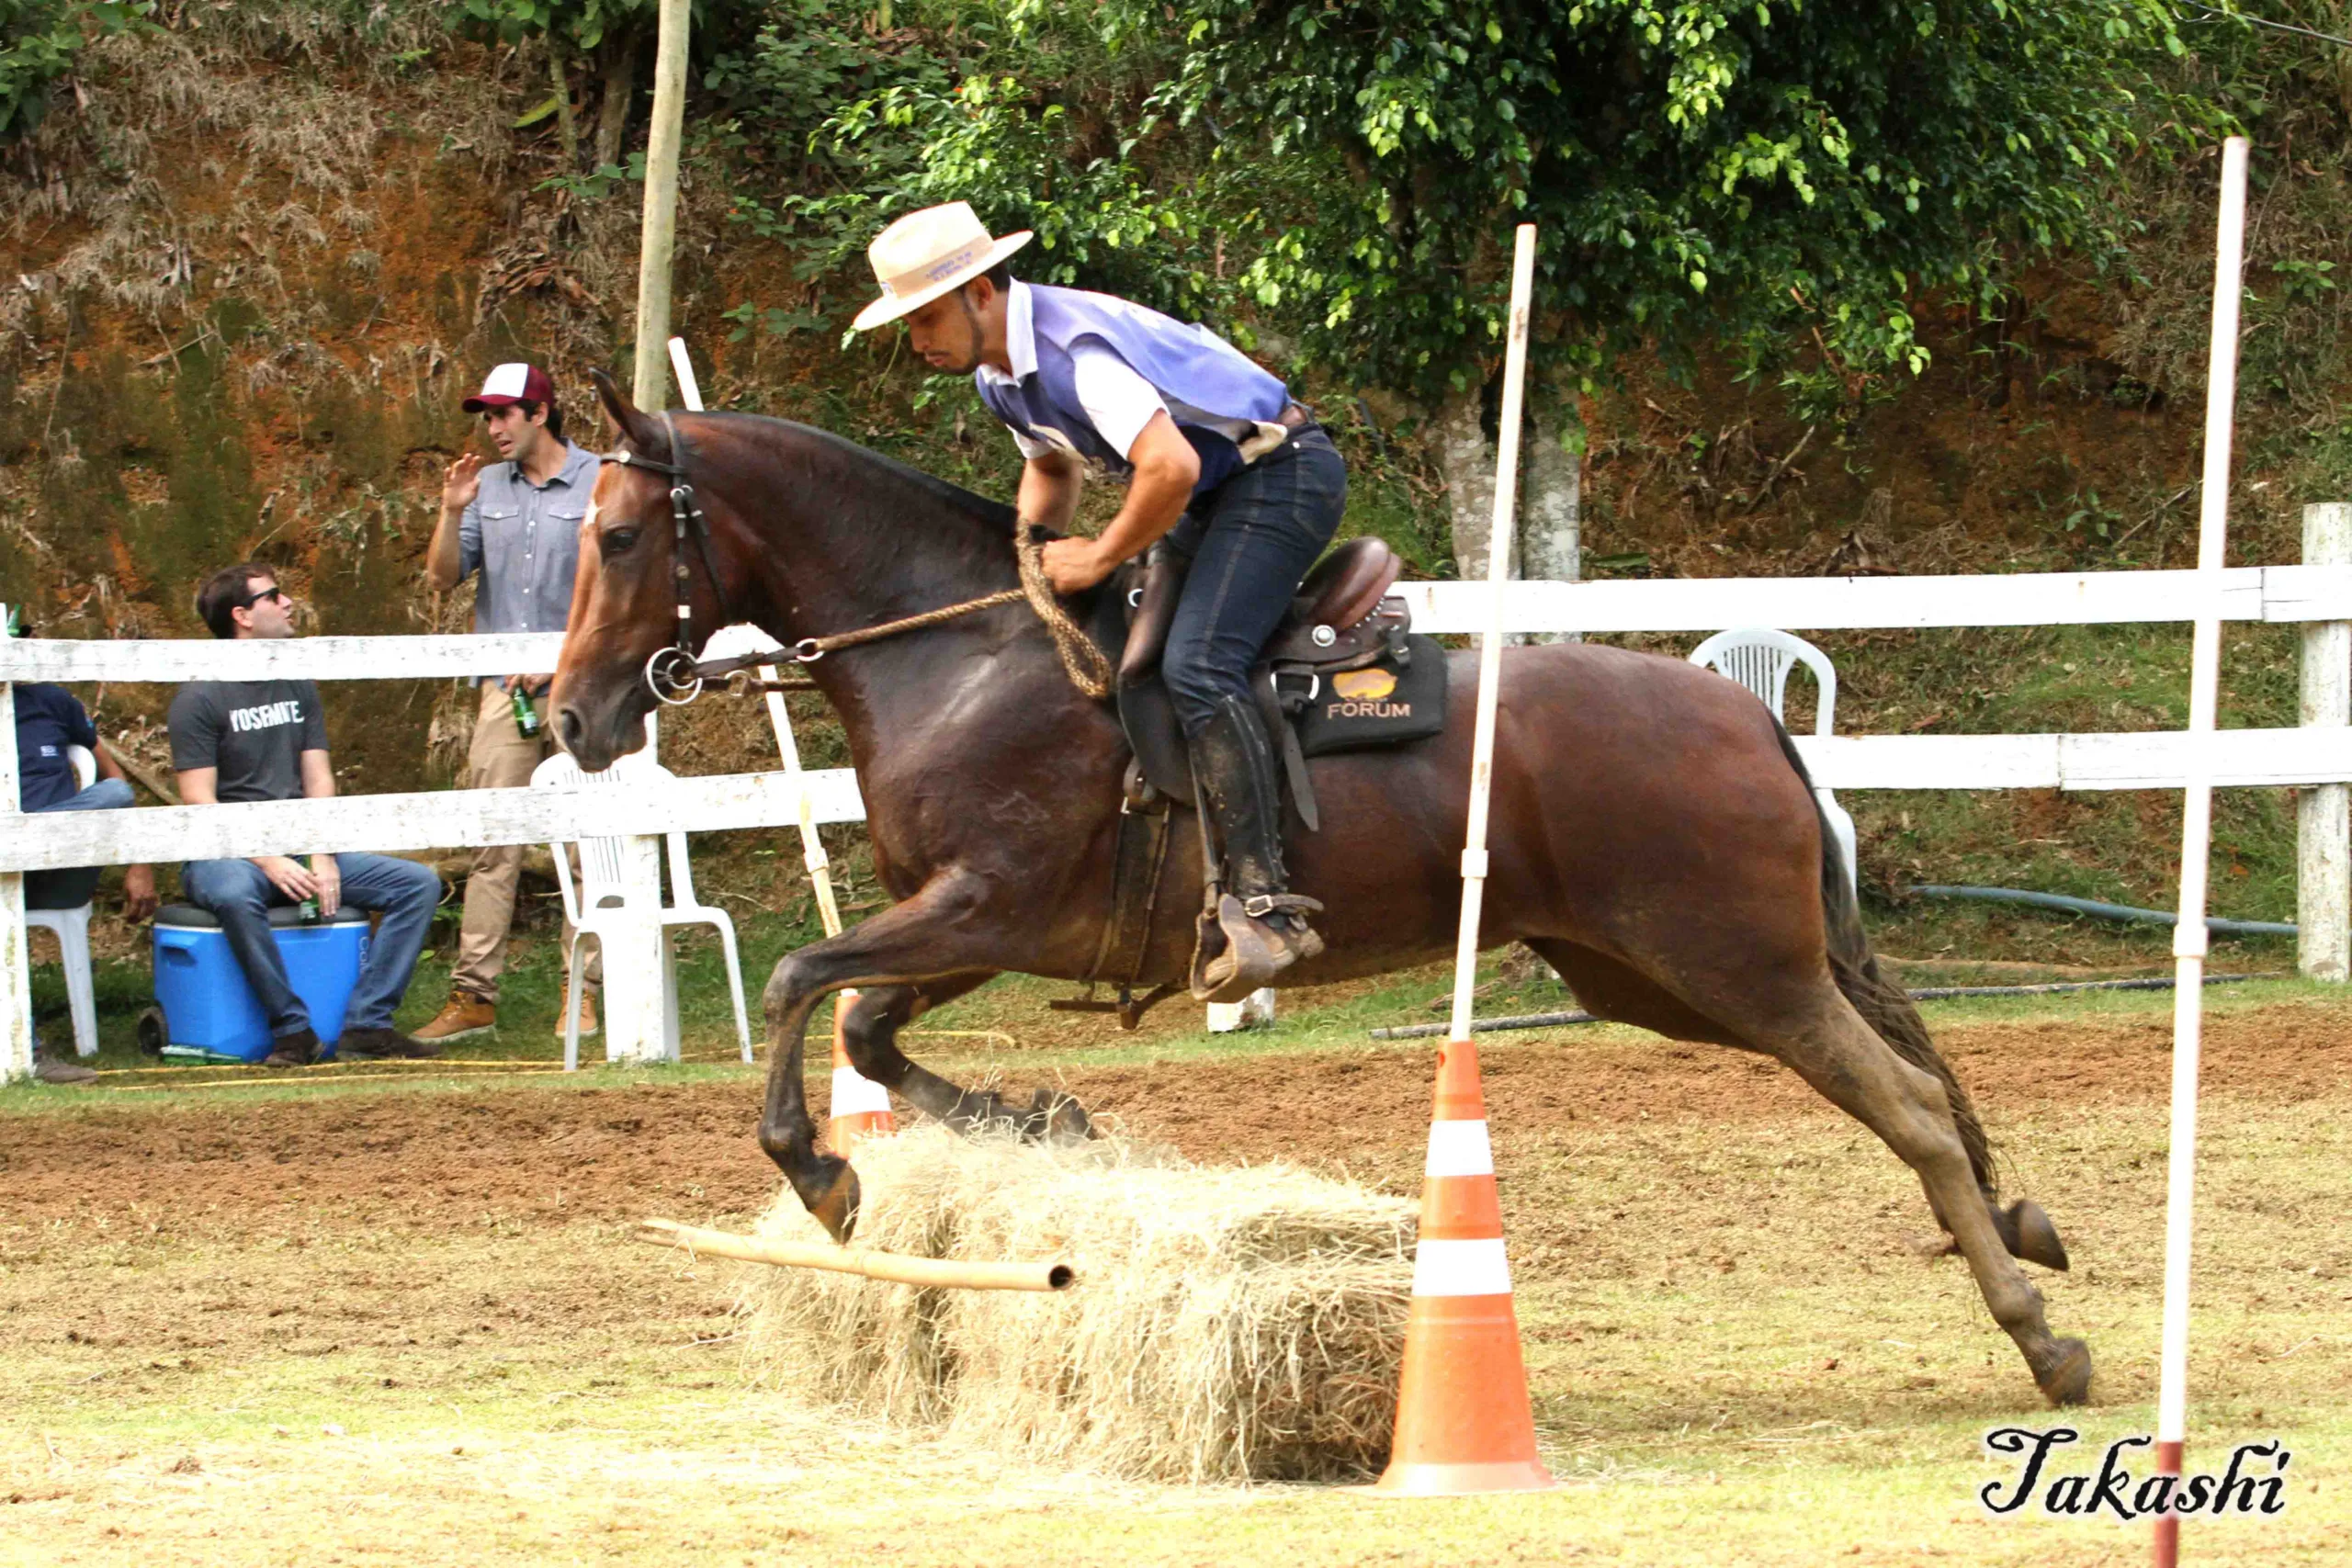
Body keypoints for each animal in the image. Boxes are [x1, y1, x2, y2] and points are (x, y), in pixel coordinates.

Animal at [555, 376, 2098, 1410]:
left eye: (618, 538)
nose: (570, 715)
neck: (969, 652)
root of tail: (1741, 707)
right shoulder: (972, 925)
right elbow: (869, 1025)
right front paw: (1040, 1118)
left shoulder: (986, 903)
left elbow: (802, 981)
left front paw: (823, 1170)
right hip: (1662, 978)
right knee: (1919, 1076)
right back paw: (2025, 1240)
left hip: (1740, 968)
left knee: (1909, 1105)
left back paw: (2042, 1335)